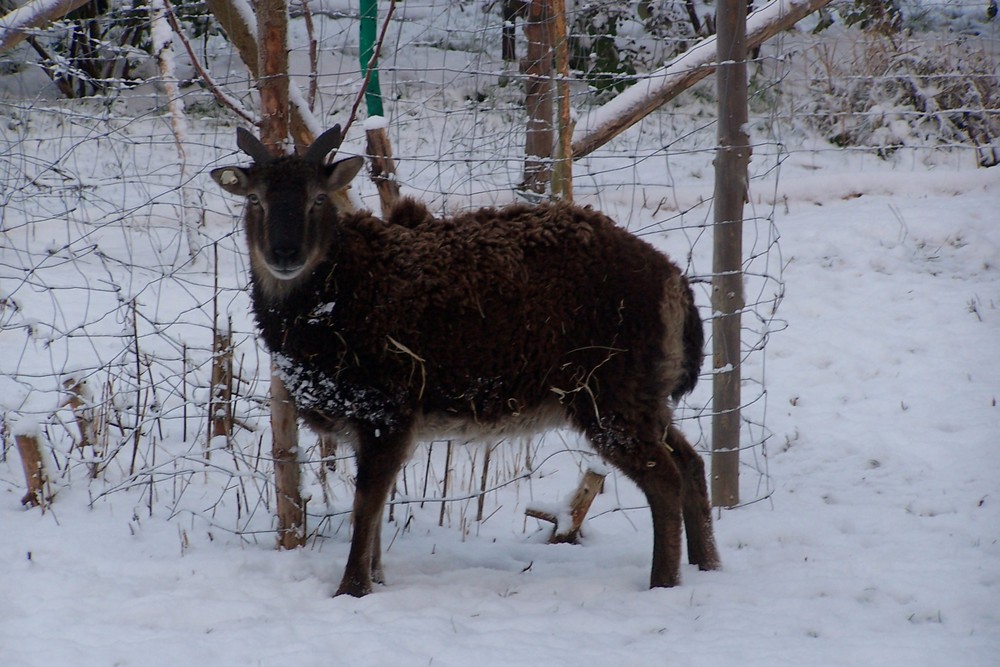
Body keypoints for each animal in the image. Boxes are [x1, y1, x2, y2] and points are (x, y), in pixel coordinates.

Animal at [215, 128, 724, 596]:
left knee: (665, 477)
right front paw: (376, 579)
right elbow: (376, 511)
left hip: (609, 391)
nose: (285, 253)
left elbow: (366, 507)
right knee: (691, 462)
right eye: (255, 198)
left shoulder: (388, 407)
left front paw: (352, 588)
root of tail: (676, 283)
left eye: (318, 197)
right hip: (647, 391)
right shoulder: (372, 422)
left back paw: (664, 580)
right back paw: (707, 565)